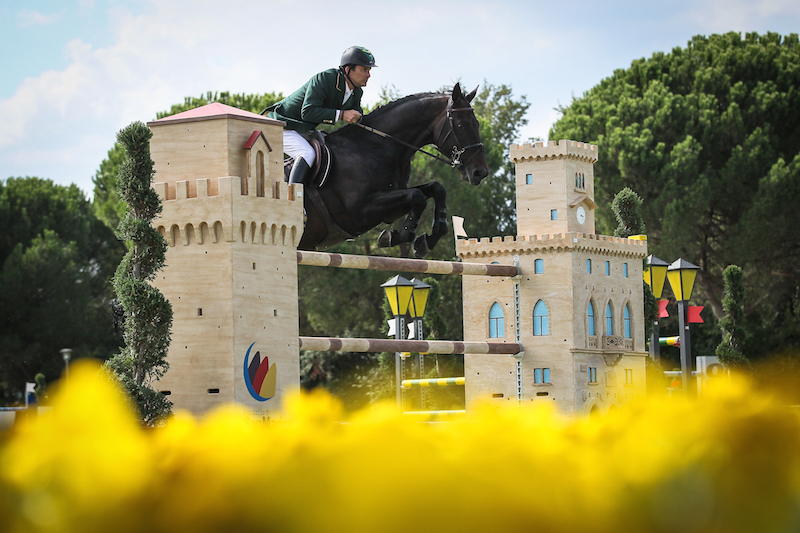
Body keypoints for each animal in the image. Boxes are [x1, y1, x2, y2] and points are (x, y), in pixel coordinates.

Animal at [298, 82, 490, 258]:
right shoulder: (360, 212)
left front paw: (428, 239)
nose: (480, 172)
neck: (374, 147)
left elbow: (436, 188)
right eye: (462, 125)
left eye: (477, 124)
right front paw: (398, 235)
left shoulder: (392, 202)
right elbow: (417, 197)